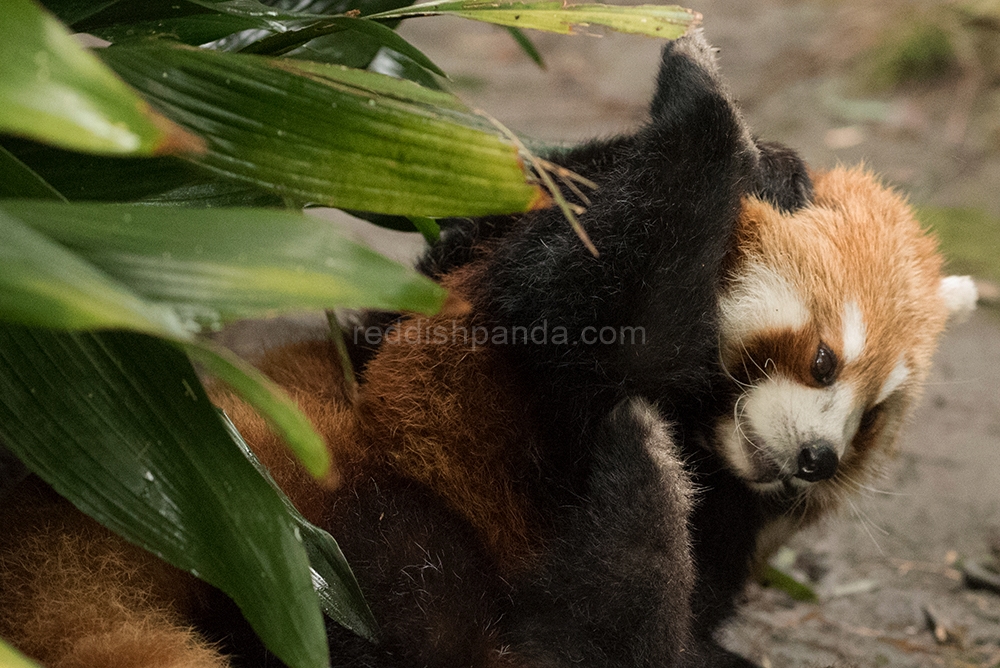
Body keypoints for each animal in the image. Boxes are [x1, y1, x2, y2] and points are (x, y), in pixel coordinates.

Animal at [0, 30, 972, 668]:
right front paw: (715, 113)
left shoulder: (730, 509)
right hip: (353, 530)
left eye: (873, 417)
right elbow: (578, 293)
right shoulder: (505, 307)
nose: (817, 458)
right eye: (823, 361)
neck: (704, 428)